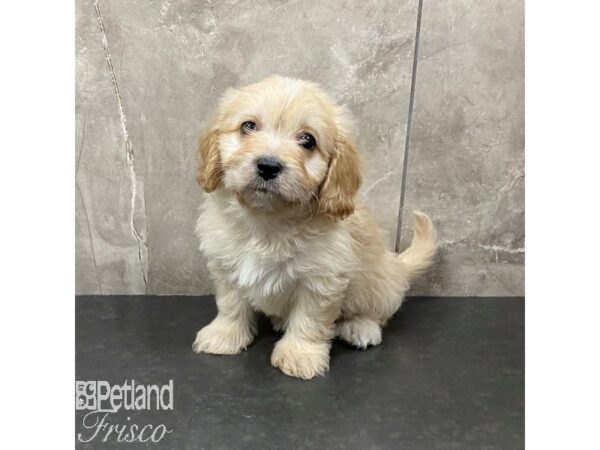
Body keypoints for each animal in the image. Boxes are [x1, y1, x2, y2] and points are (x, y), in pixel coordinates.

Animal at [192, 75, 436, 378]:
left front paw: (300, 355)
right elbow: (230, 304)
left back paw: (360, 327)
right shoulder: (225, 265)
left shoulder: (322, 279)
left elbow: (310, 319)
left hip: (378, 285)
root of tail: (397, 266)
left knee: (376, 313)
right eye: (248, 126)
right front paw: (224, 335)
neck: (268, 220)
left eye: (308, 140)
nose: (268, 166)